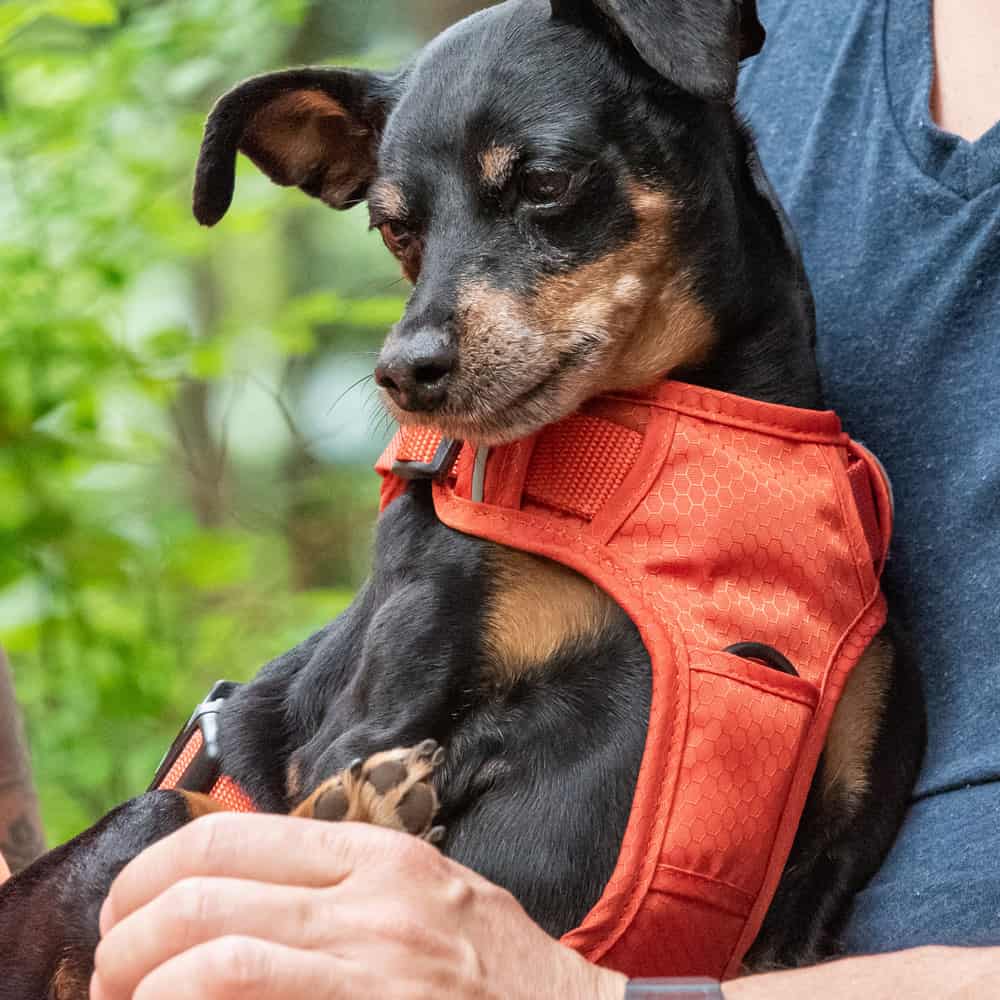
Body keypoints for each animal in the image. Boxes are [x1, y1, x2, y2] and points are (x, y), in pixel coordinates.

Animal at [0, 3, 920, 996]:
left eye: (545, 181)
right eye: (394, 229)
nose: (404, 371)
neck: (694, 446)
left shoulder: (825, 862)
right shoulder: (359, 731)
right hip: (158, 820)